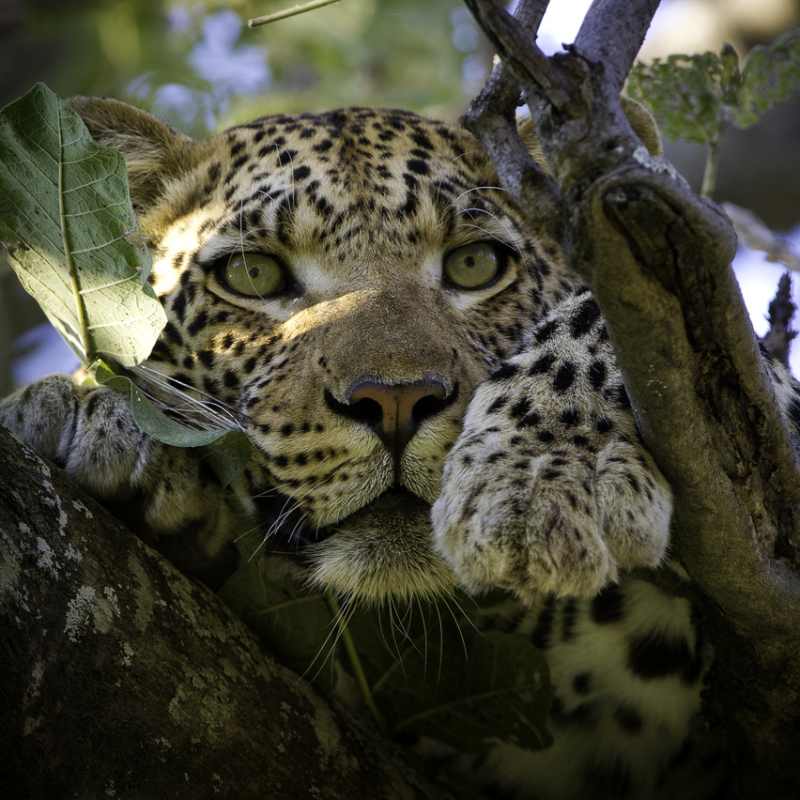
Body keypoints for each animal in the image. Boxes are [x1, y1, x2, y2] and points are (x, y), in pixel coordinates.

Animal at [3, 95, 800, 800]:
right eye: (253, 275)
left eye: (476, 265)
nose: (393, 402)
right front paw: (81, 410)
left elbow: (604, 317)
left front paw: (542, 478)